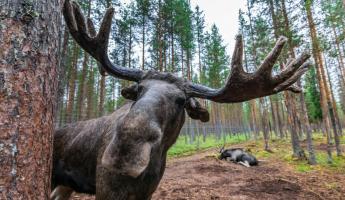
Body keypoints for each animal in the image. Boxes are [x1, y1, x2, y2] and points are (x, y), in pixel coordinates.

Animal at [51, 0, 312, 199]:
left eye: (181, 101)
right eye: (139, 90)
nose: (125, 150)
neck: (152, 168)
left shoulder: (146, 192)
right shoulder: (107, 189)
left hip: (65, 186)